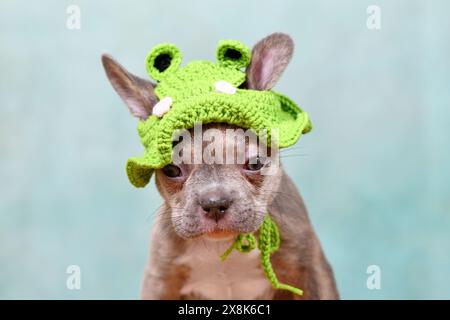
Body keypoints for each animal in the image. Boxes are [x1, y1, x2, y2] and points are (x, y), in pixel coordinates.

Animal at [102, 33, 340, 300]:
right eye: (172, 171)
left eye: (255, 163)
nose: (214, 203)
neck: (223, 245)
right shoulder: (161, 280)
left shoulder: (308, 270)